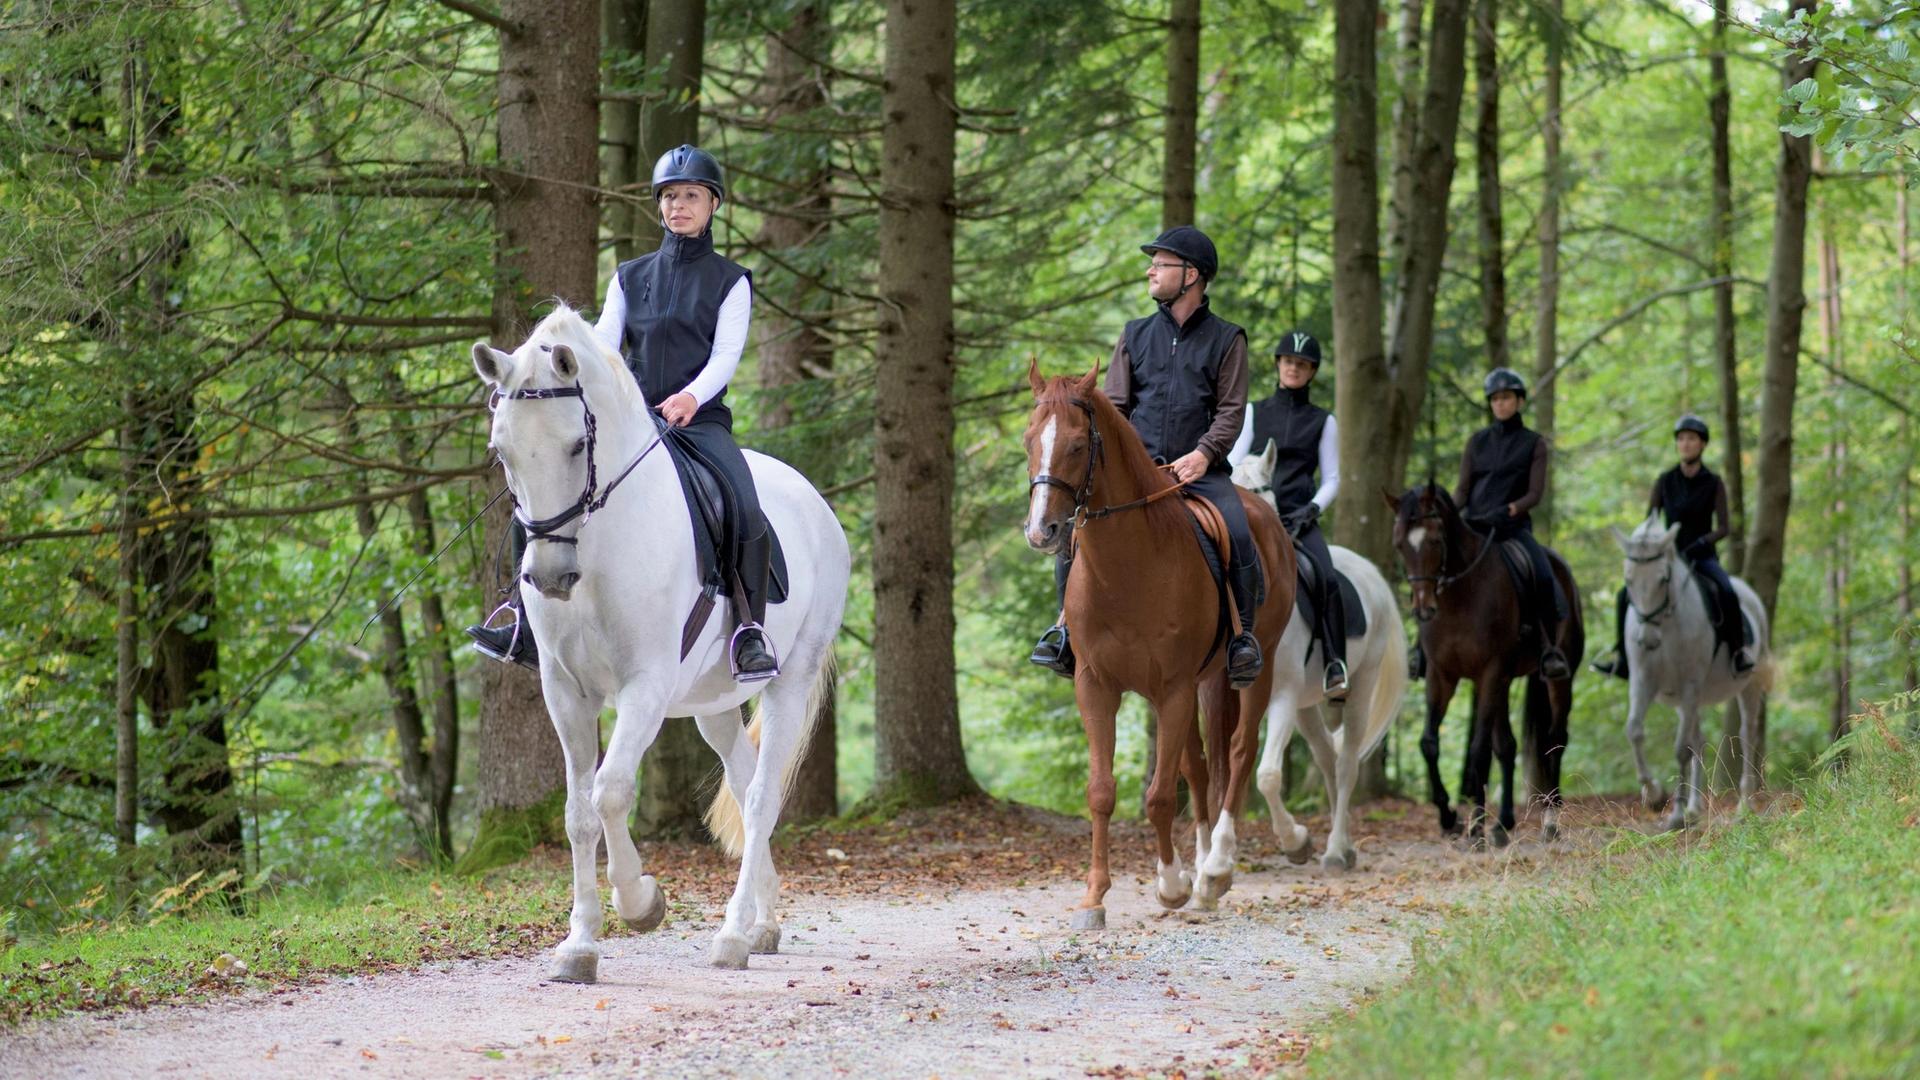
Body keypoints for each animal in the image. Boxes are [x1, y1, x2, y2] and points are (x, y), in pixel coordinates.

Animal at [470, 305, 849, 980]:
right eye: (502, 449)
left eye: (576, 444)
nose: (549, 577)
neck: (598, 544)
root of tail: (816, 504)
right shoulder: (565, 692)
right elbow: (577, 813)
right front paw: (579, 945)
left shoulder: (642, 687)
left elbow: (611, 792)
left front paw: (641, 901)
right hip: (713, 704)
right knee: (746, 781)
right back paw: (763, 924)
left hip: (791, 679)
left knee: (761, 796)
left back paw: (732, 936)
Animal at [1022, 360, 1294, 928]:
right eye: (1029, 439)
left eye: (1077, 445)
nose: (1042, 531)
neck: (1127, 567)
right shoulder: (1097, 686)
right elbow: (1103, 792)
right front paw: (1094, 898)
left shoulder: (1171, 689)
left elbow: (1160, 796)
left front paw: (1171, 885)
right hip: (1202, 683)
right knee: (1201, 763)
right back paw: (1202, 868)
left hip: (1254, 669)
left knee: (1239, 752)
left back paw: (1215, 869)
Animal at [1230, 444, 1409, 872]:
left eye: (1260, 491)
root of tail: (1372, 574)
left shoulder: (1281, 697)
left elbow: (1268, 775)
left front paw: (1295, 841)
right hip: (1305, 706)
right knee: (1327, 758)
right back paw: (1343, 845)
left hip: (1359, 688)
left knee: (1345, 765)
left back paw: (1335, 850)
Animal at [1384, 483, 1581, 847]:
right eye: (1400, 544)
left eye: (1435, 540)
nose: (1423, 609)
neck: (1459, 596)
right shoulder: (1441, 676)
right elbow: (1429, 743)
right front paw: (1450, 818)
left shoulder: (1489, 673)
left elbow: (1478, 750)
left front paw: (1474, 828)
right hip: (1504, 683)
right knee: (1507, 746)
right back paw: (1503, 824)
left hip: (1558, 679)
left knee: (1555, 740)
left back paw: (1550, 821)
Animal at [1611, 517, 1774, 829]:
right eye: (1629, 580)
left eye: (1663, 578)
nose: (1647, 640)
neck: (1666, 625)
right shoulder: (1643, 683)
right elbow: (1634, 730)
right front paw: (1654, 795)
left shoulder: (1689, 684)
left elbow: (1681, 749)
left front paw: (1674, 814)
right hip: (1687, 699)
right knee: (1699, 740)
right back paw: (1695, 808)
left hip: (1744, 685)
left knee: (1746, 734)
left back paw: (1744, 805)